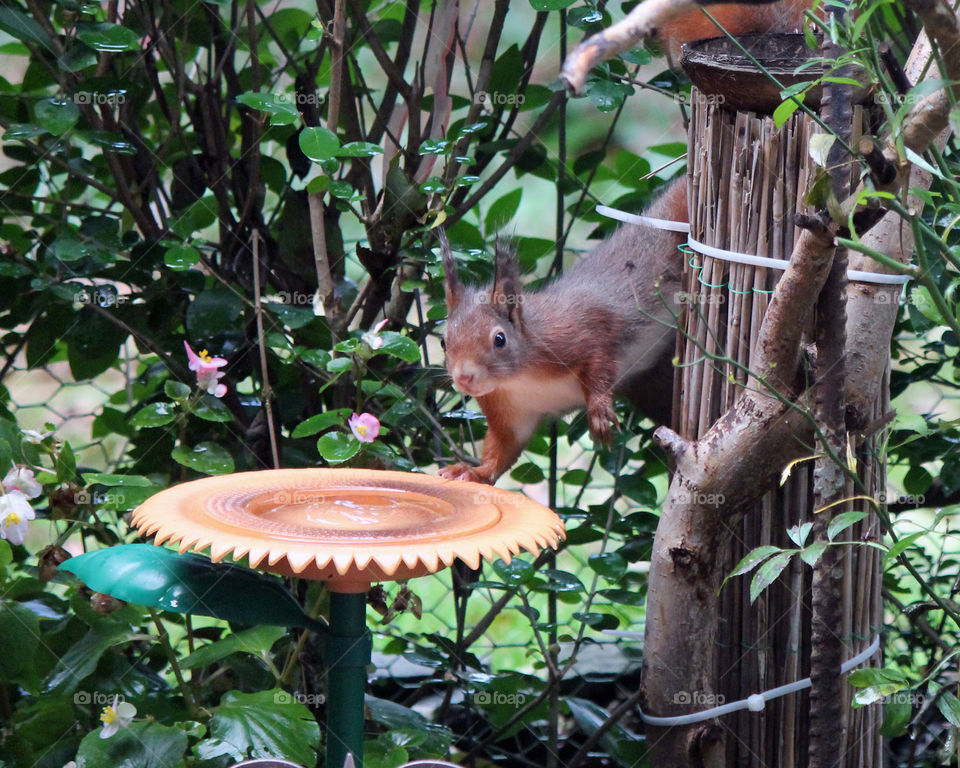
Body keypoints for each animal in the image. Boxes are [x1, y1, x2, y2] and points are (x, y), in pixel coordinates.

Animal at [438, 178, 688, 485]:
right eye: (443, 342)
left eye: (499, 339)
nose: (464, 377)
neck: (519, 379)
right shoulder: (510, 412)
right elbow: (502, 449)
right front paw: (470, 471)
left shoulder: (577, 330)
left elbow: (599, 359)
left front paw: (599, 411)